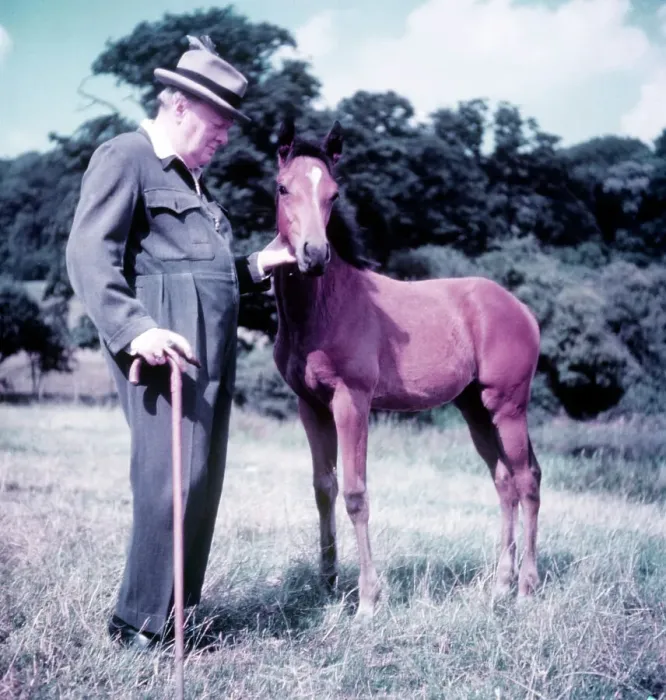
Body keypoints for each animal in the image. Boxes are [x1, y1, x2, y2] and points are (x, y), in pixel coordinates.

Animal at [271, 117, 542, 619]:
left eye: (334, 193)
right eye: (283, 188)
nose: (314, 255)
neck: (322, 308)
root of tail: (522, 310)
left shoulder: (352, 401)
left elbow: (356, 493)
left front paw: (368, 600)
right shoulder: (310, 405)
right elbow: (324, 487)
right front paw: (327, 584)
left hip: (508, 407)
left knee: (526, 480)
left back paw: (526, 588)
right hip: (475, 409)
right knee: (504, 483)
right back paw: (500, 586)